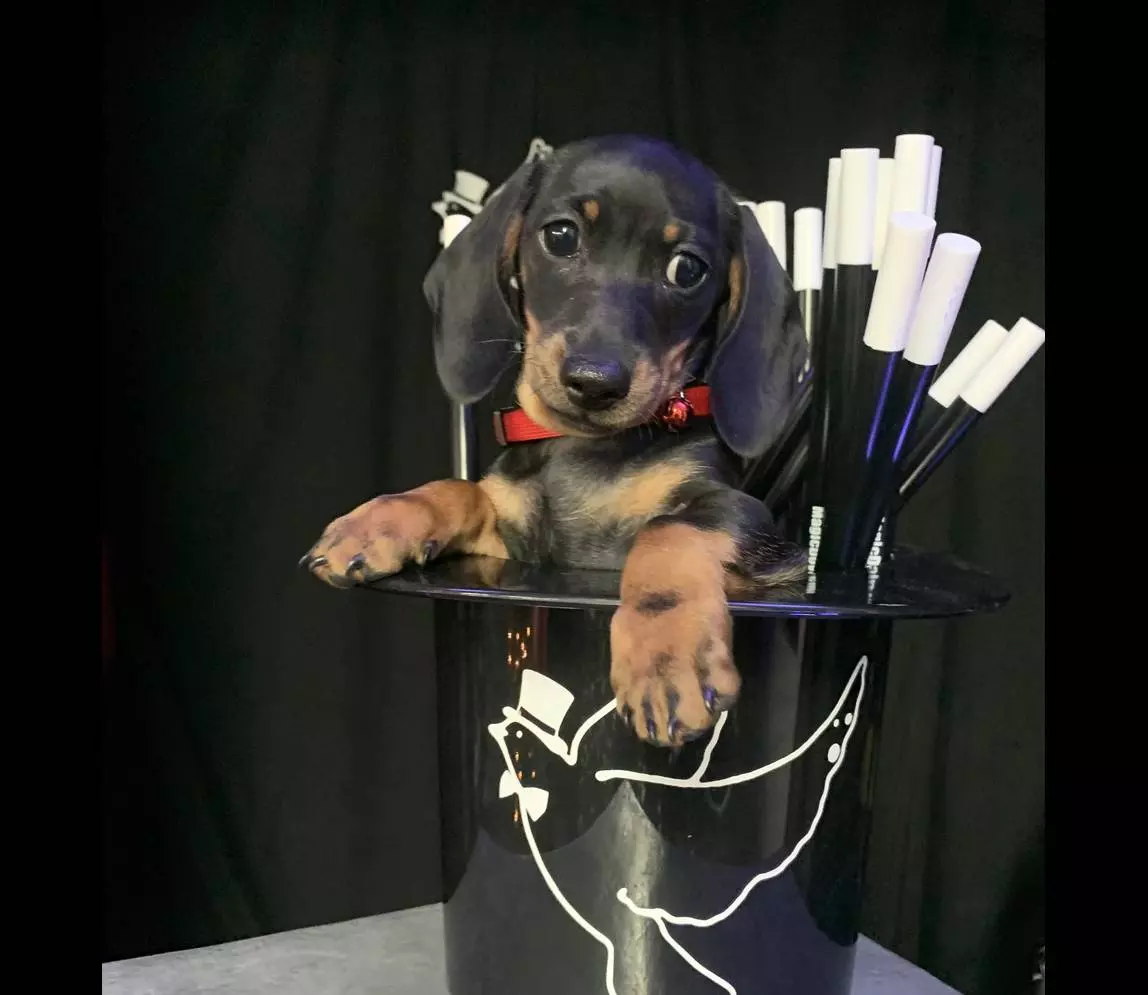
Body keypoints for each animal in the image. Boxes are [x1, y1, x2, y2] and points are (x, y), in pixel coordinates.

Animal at [303, 138, 808, 748]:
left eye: (687, 269)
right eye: (561, 236)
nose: (596, 382)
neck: (582, 449)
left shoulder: (754, 524)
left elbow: (669, 531)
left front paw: (666, 658)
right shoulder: (509, 548)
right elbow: (461, 489)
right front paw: (377, 522)